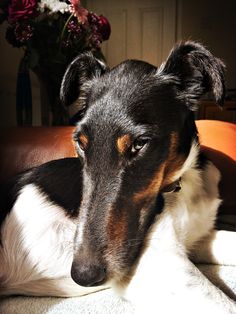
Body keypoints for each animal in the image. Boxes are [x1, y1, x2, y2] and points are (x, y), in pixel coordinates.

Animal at [0, 41, 236, 312]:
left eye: (139, 144)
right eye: (80, 143)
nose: (83, 275)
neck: (182, 185)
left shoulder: (198, 238)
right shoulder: (159, 260)